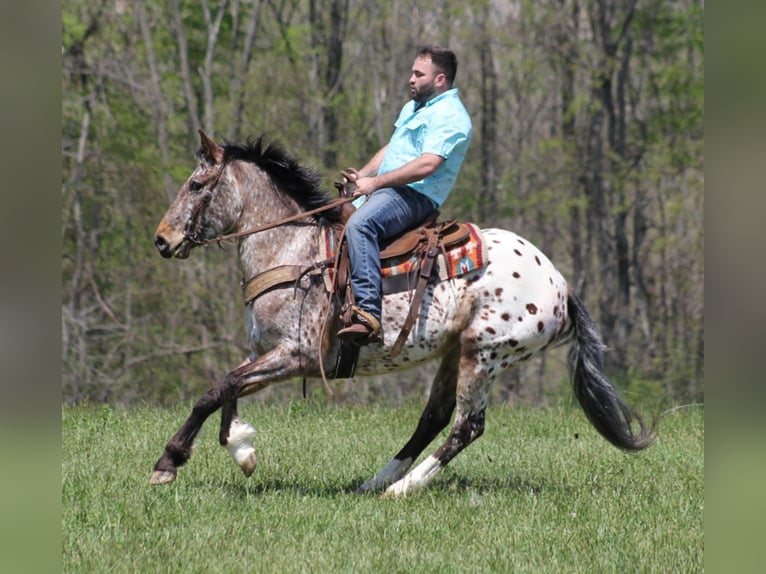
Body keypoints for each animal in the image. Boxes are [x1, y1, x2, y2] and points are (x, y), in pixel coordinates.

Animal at [150, 130, 656, 500]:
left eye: (196, 185)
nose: (161, 239)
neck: (292, 253)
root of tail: (561, 287)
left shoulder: (297, 356)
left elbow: (217, 390)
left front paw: (175, 462)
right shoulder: (264, 352)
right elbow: (226, 389)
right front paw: (237, 449)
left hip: (485, 355)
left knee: (466, 426)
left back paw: (403, 489)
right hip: (455, 352)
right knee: (433, 418)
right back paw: (376, 481)